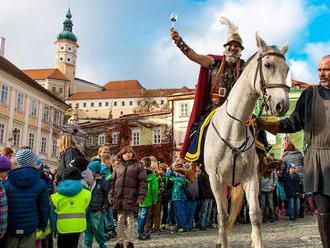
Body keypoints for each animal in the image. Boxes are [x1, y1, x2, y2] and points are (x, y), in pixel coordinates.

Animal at [205, 33, 290, 248]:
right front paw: (223, 242)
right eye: (268, 64)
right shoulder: (215, 181)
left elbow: (255, 215)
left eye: (287, 69)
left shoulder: (251, 178)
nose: (282, 105)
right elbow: (221, 217)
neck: (232, 129)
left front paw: (257, 242)